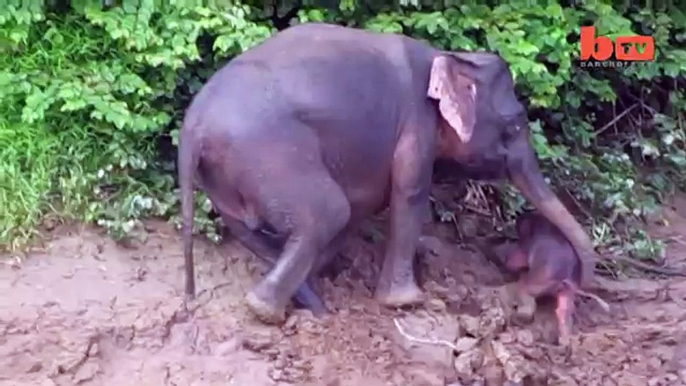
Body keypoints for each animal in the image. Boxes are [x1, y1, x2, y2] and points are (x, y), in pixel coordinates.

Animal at [180, 21, 600, 322]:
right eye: (513, 126)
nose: (576, 278)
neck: (449, 57)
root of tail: (193, 128)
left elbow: (366, 203)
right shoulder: (416, 126)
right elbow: (409, 193)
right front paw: (406, 303)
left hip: (225, 179)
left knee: (263, 227)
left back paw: (309, 303)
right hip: (269, 154)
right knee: (328, 212)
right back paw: (267, 310)